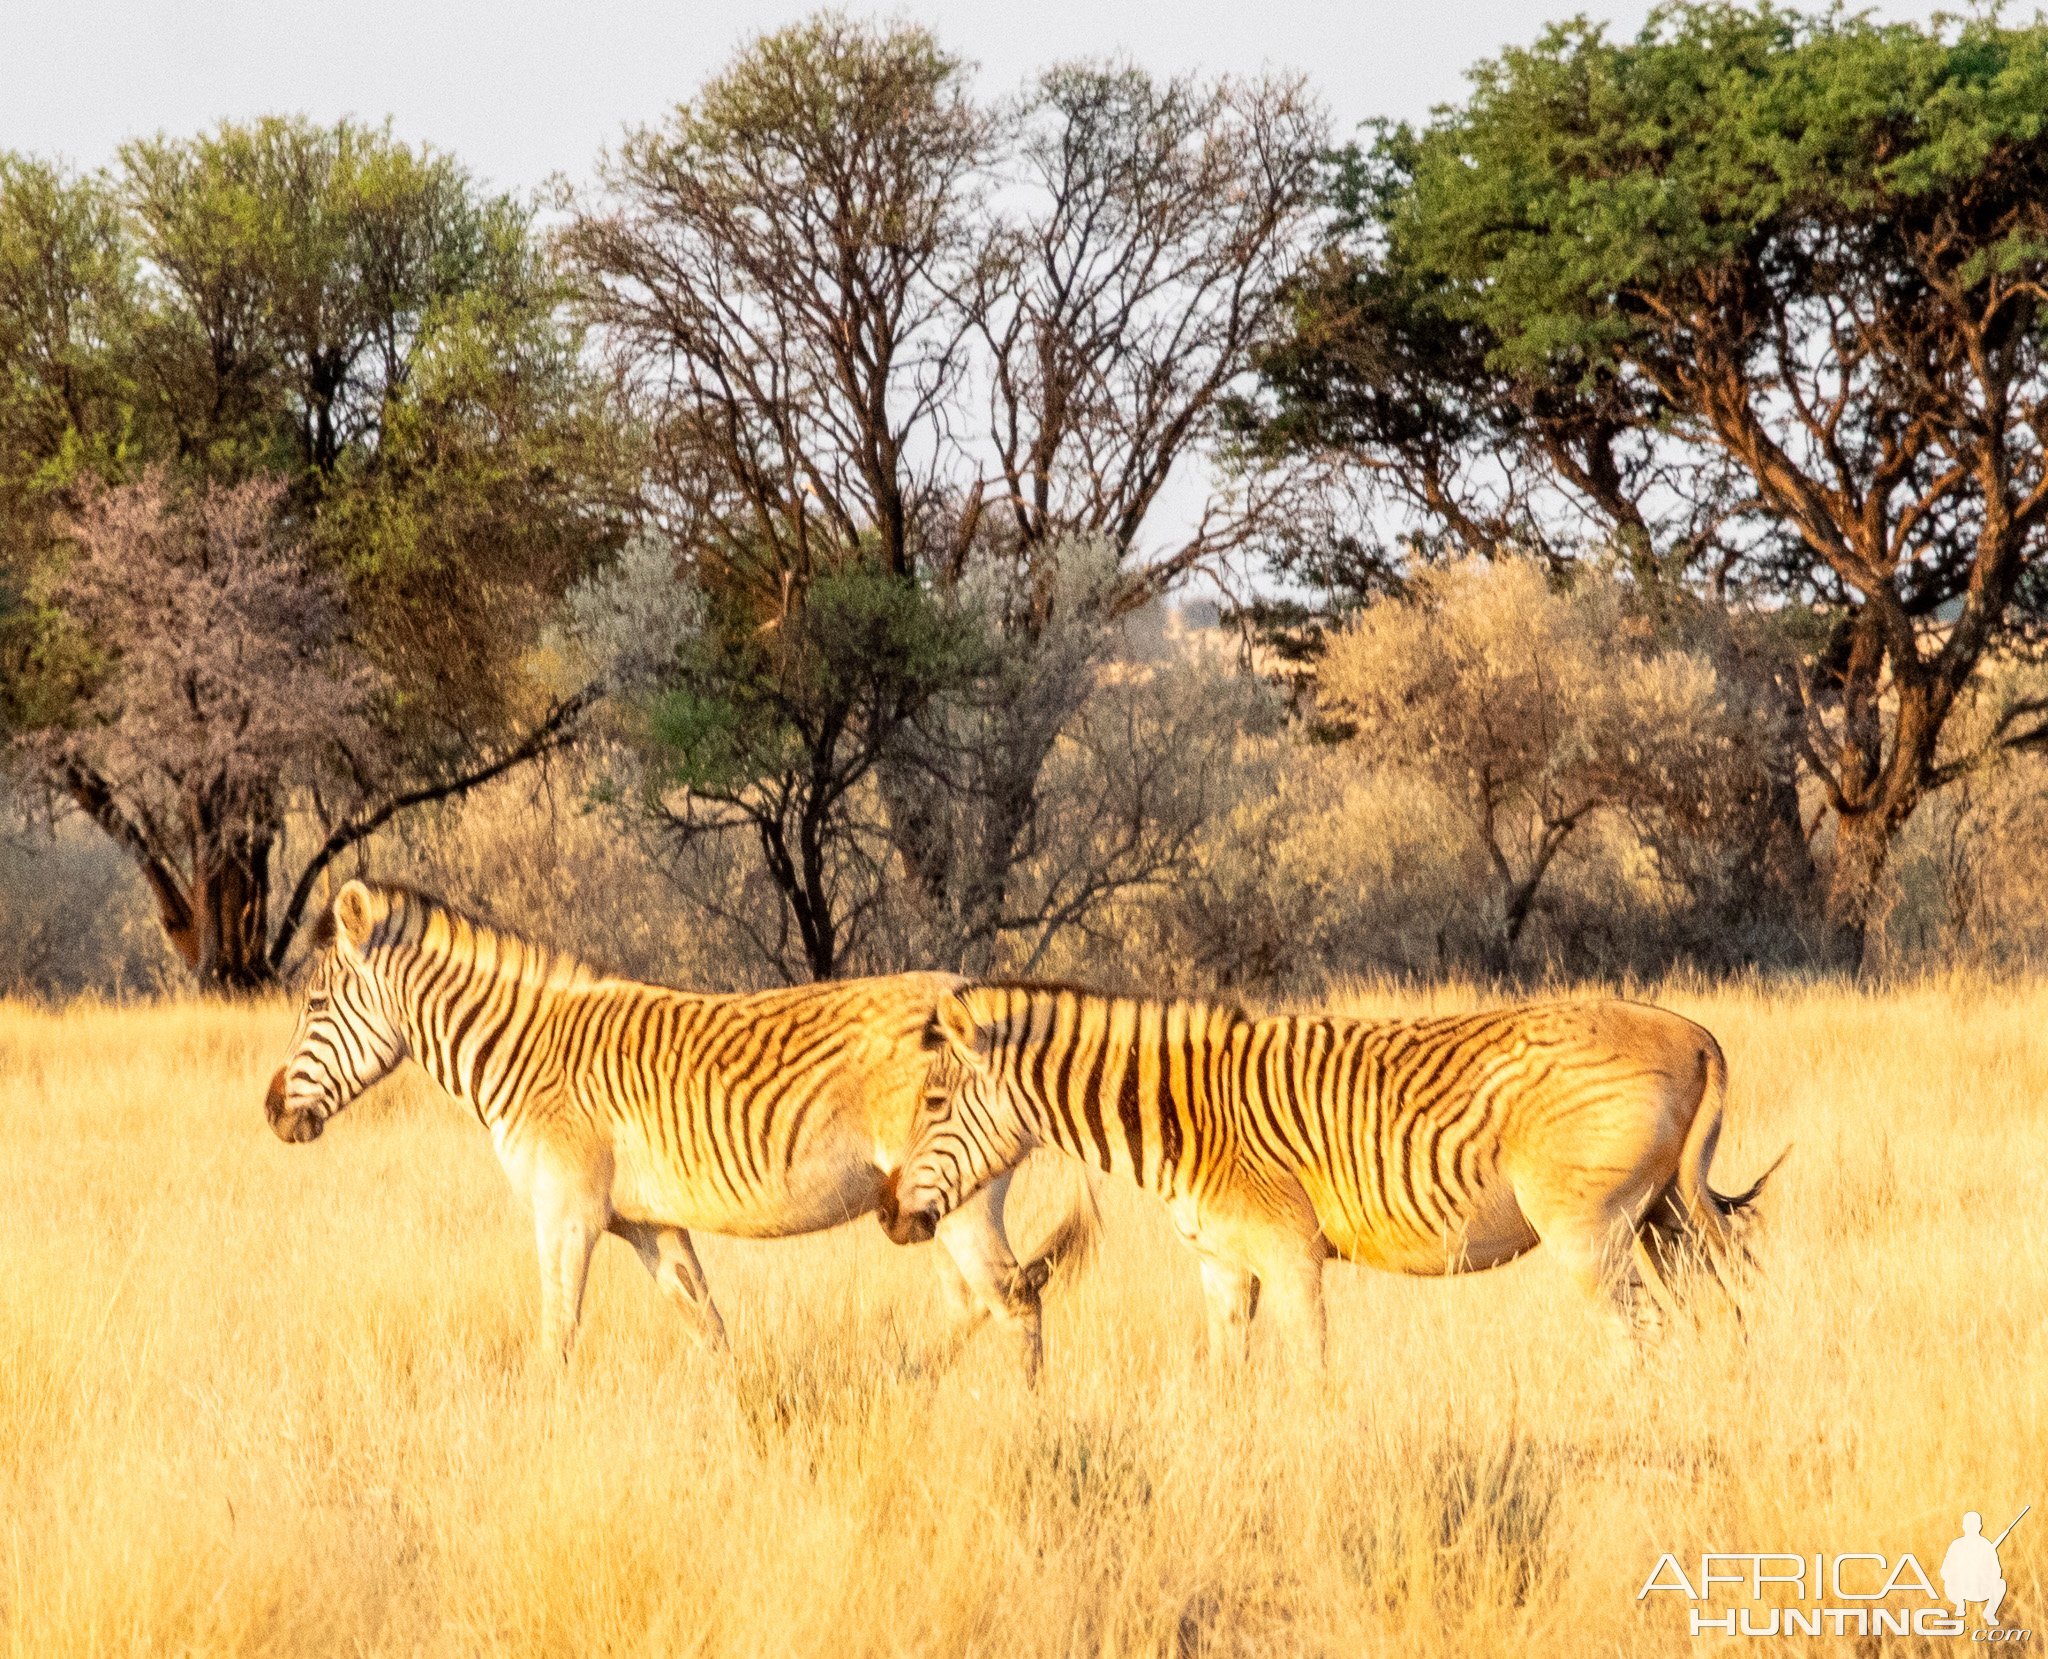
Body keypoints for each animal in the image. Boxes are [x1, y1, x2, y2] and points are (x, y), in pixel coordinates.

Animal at [266, 884, 1097, 1359]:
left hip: (961, 1192)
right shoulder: (648, 1221)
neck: (528, 1055)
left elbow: (557, 1336)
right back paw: (910, 1394)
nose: (273, 1110)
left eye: (315, 1003)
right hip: (935, 1201)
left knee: (1015, 1302)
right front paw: (744, 1427)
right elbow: (709, 1330)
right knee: (980, 1303)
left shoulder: (565, 1210)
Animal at [880, 983, 1777, 1359]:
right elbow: (1227, 1375)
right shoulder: (1221, 1266)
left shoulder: (1291, 1255)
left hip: (1591, 1231)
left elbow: (1313, 1367)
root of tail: (1694, 1033)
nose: (888, 1217)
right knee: (1717, 1318)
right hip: (1665, 1220)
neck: (1183, 1119)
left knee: (1642, 1333)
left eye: (932, 1101)